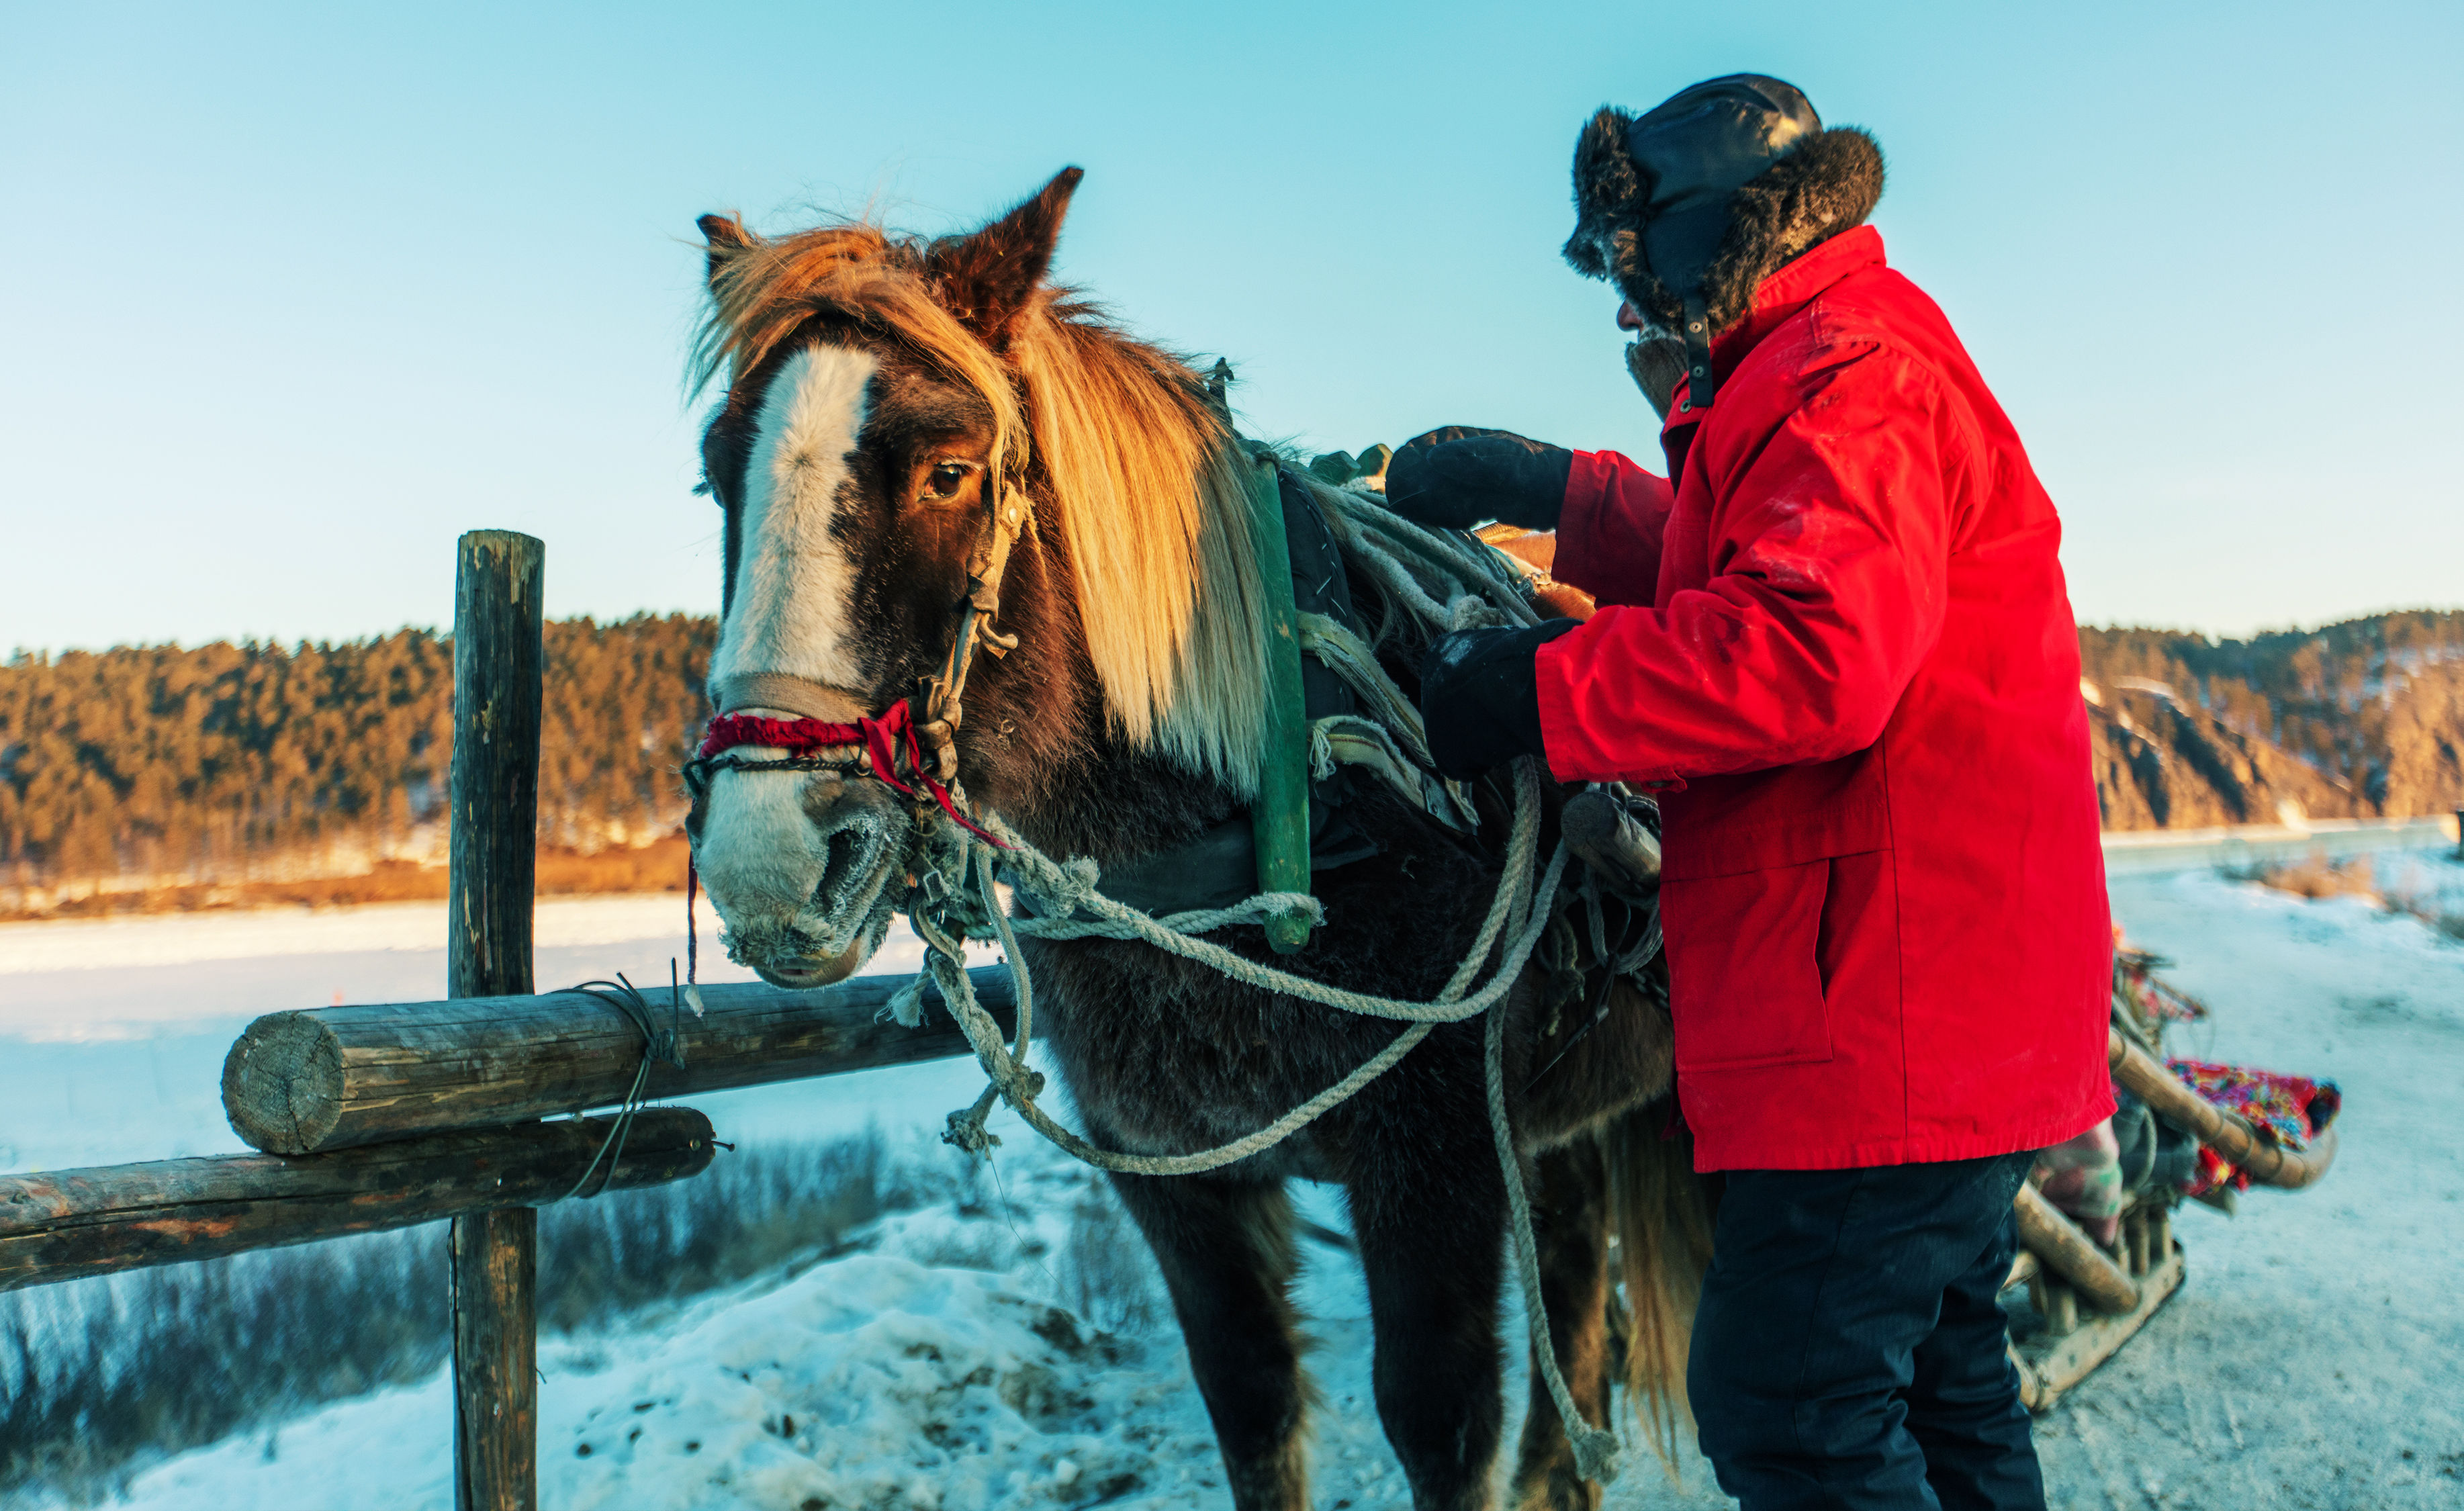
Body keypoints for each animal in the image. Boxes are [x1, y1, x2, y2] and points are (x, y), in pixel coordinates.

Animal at [675, 167, 1715, 1508]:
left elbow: (1437, 1422)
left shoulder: (1435, 1171)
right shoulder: (1173, 1183)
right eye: (719, 478)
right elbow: (1252, 1407)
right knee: (1580, 1289)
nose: (771, 858)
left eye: (949, 470)